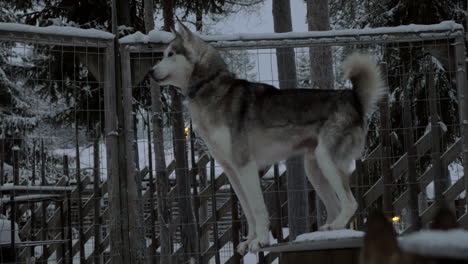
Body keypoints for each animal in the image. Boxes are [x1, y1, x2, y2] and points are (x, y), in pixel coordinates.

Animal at [152, 22, 386, 254]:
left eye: (170, 54)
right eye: (163, 54)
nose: (151, 72)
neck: (210, 86)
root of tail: (353, 99)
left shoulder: (246, 166)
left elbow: (257, 209)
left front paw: (261, 241)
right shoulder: (231, 171)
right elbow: (247, 210)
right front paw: (249, 241)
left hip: (327, 160)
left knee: (350, 203)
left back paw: (335, 227)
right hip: (314, 168)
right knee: (335, 206)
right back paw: (329, 231)